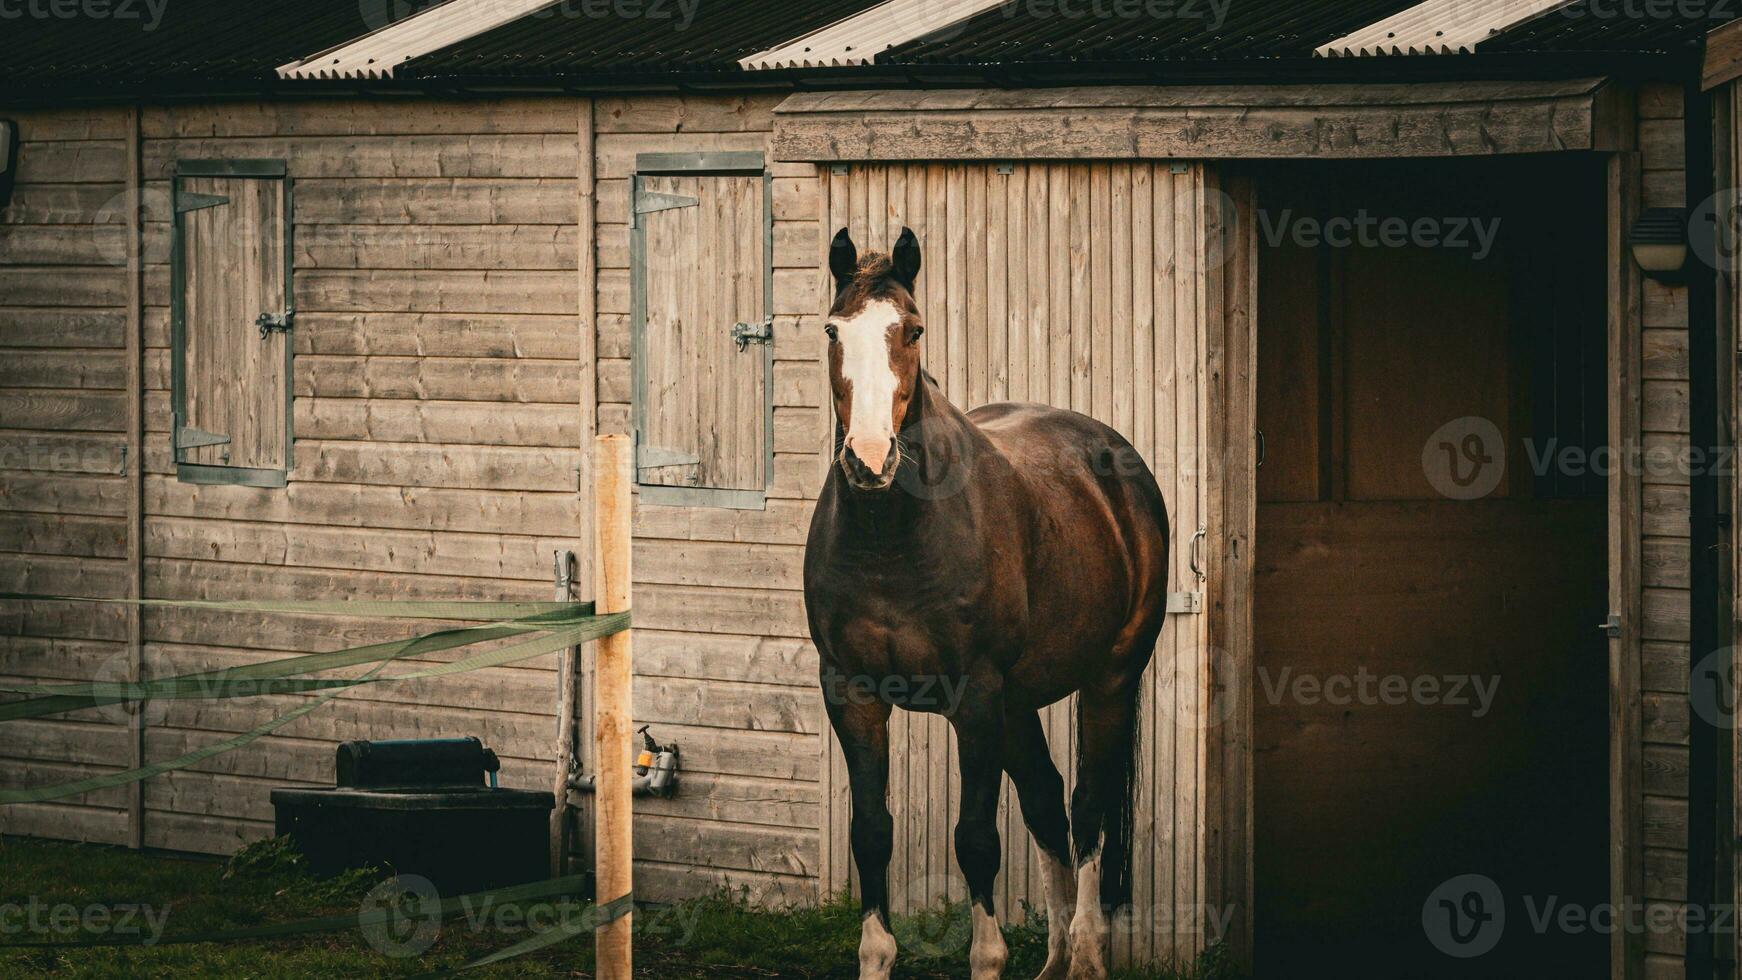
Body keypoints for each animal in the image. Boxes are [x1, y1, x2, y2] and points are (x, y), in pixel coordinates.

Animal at [801, 226, 1170, 974]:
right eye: (832, 329)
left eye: (912, 329)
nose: (870, 459)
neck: (892, 539)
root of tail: (1116, 459)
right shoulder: (851, 692)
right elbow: (871, 833)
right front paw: (877, 954)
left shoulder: (973, 698)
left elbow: (975, 839)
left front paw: (988, 956)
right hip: (1020, 701)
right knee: (1047, 800)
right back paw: (1054, 961)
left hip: (1110, 677)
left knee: (1087, 808)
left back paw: (1085, 956)